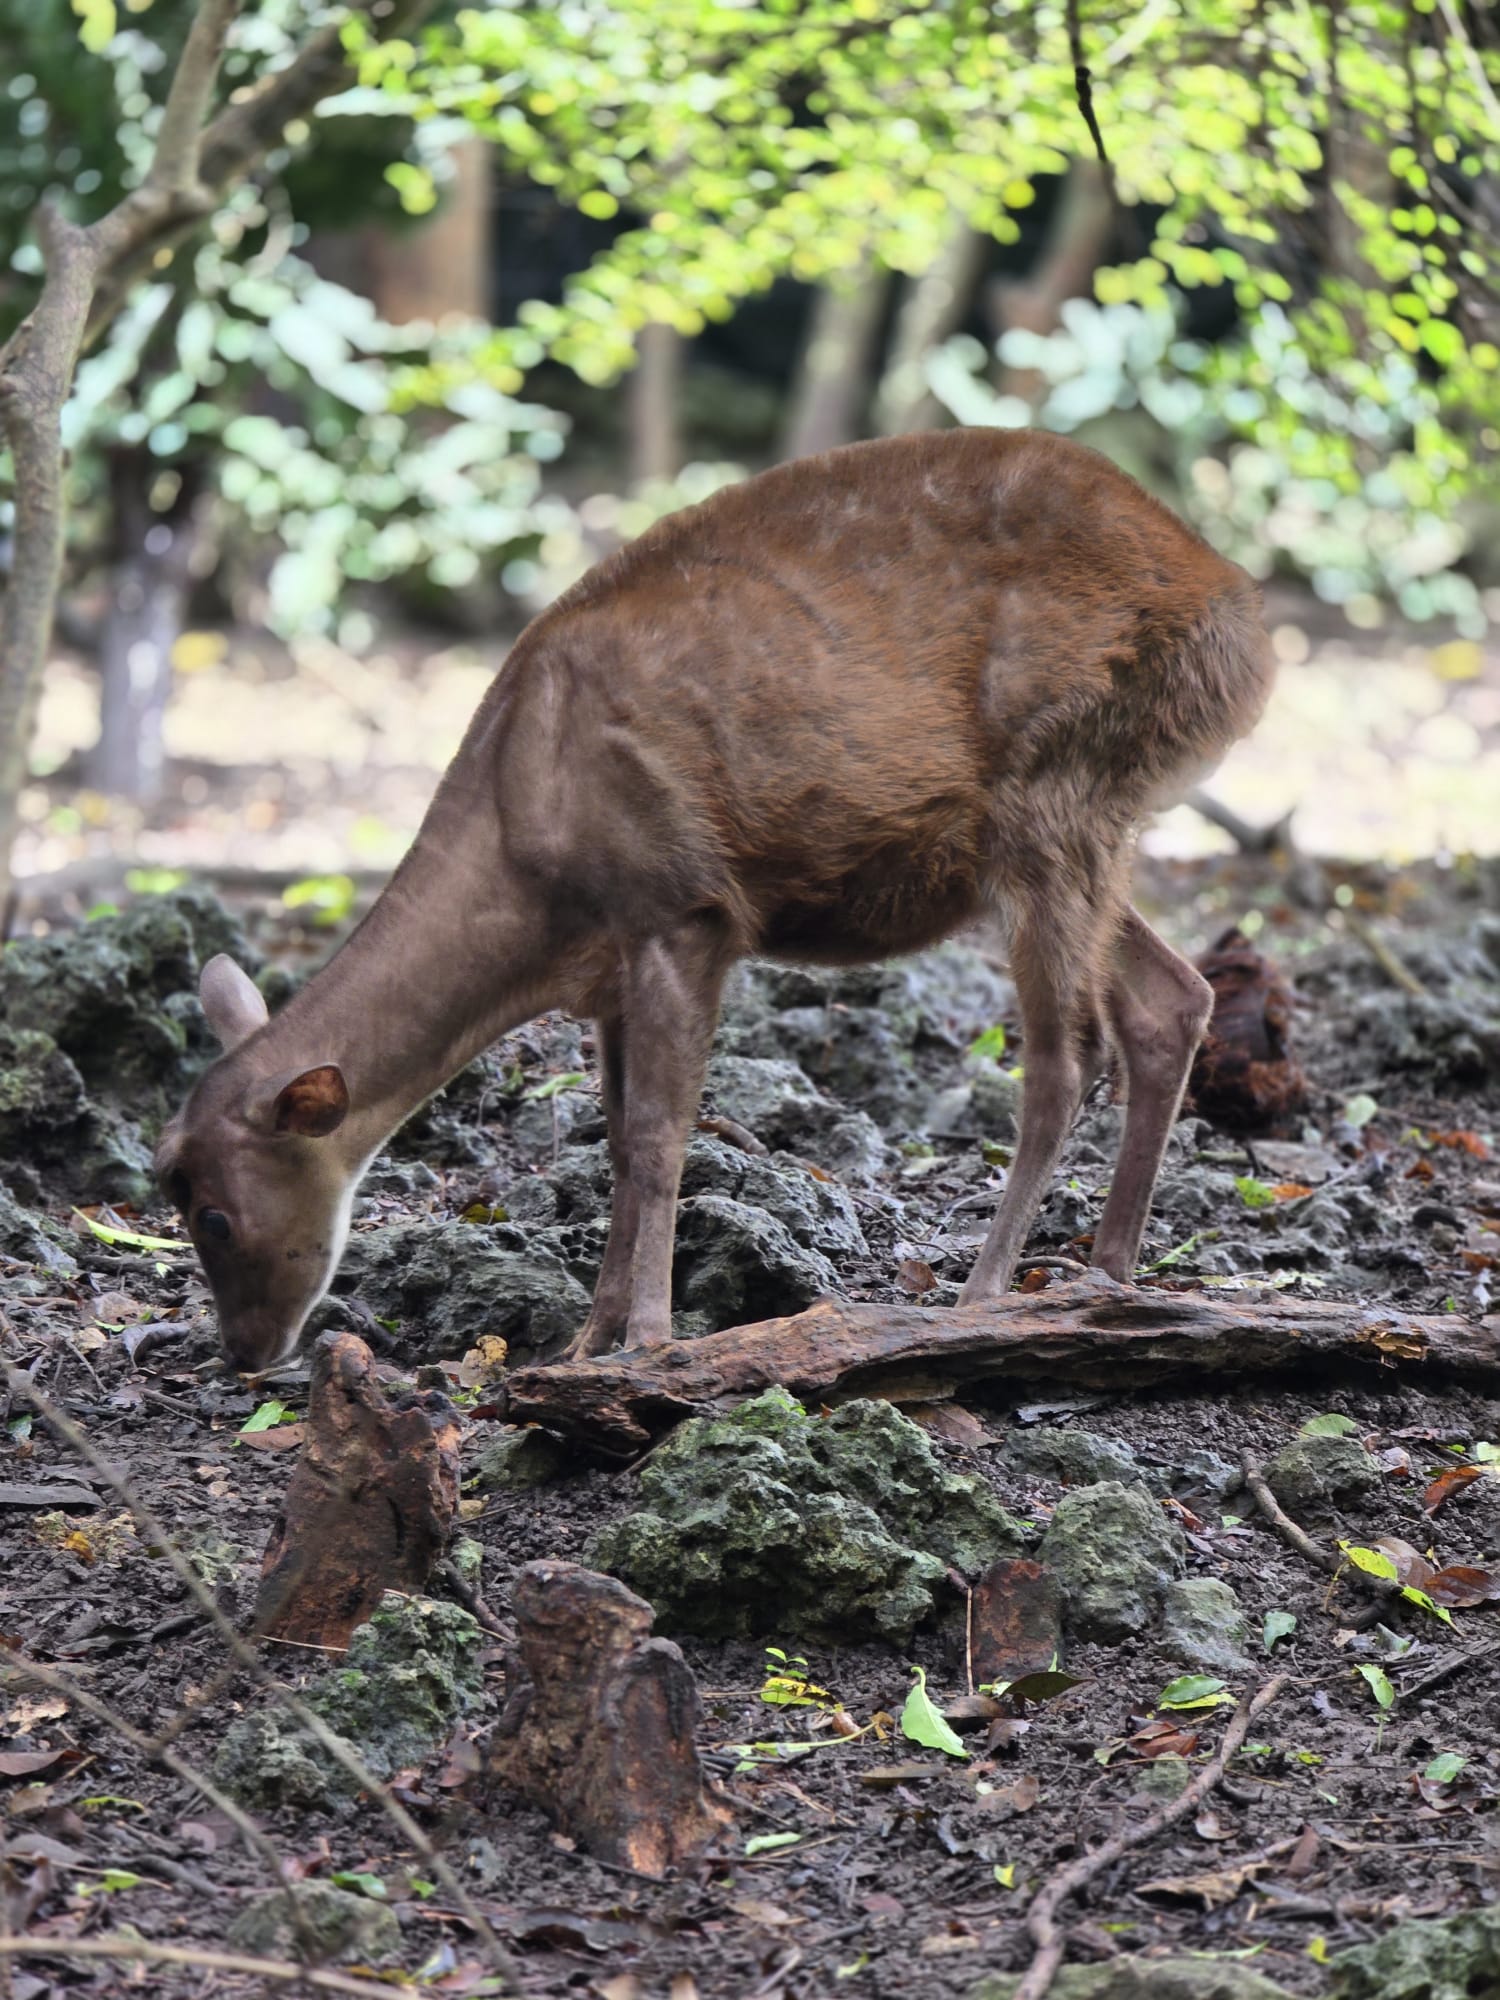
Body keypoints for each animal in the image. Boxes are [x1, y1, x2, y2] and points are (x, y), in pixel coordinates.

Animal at [154, 427, 1273, 1375]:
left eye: (213, 1216)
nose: (243, 1354)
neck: (525, 872)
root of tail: (1245, 621)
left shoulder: (681, 906)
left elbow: (659, 1137)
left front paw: (648, 1338)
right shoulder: (608, 967)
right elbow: (613, 1139)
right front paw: (585, 1335)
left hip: (1064, 774)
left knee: (1064, 1057)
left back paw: (987, 1293)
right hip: (1063, 830)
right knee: (1172, 997)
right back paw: (1111, 1273)